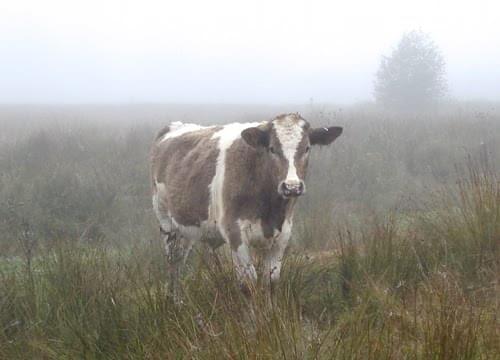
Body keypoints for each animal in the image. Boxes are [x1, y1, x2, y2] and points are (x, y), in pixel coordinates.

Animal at [150, 112, 342, 296]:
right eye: (272, 149)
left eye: (307, 148)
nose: (292, 186)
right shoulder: (235, 233)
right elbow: (248, 284)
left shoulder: (283, 235)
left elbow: (270, 282)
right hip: (167, 225)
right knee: (174, 266)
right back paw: (176, 302)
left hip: (188, 228)